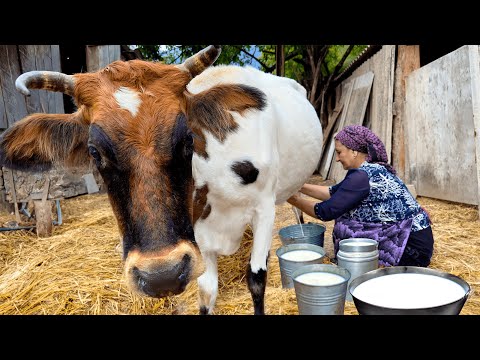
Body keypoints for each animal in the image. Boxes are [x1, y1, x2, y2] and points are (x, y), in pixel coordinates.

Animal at [0, 45, 324, 316]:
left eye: (188, 138)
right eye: (94, 151)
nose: (161, 275)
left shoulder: (264, 209)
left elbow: (256, 280)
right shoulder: (198, 233)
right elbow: (206, 292)